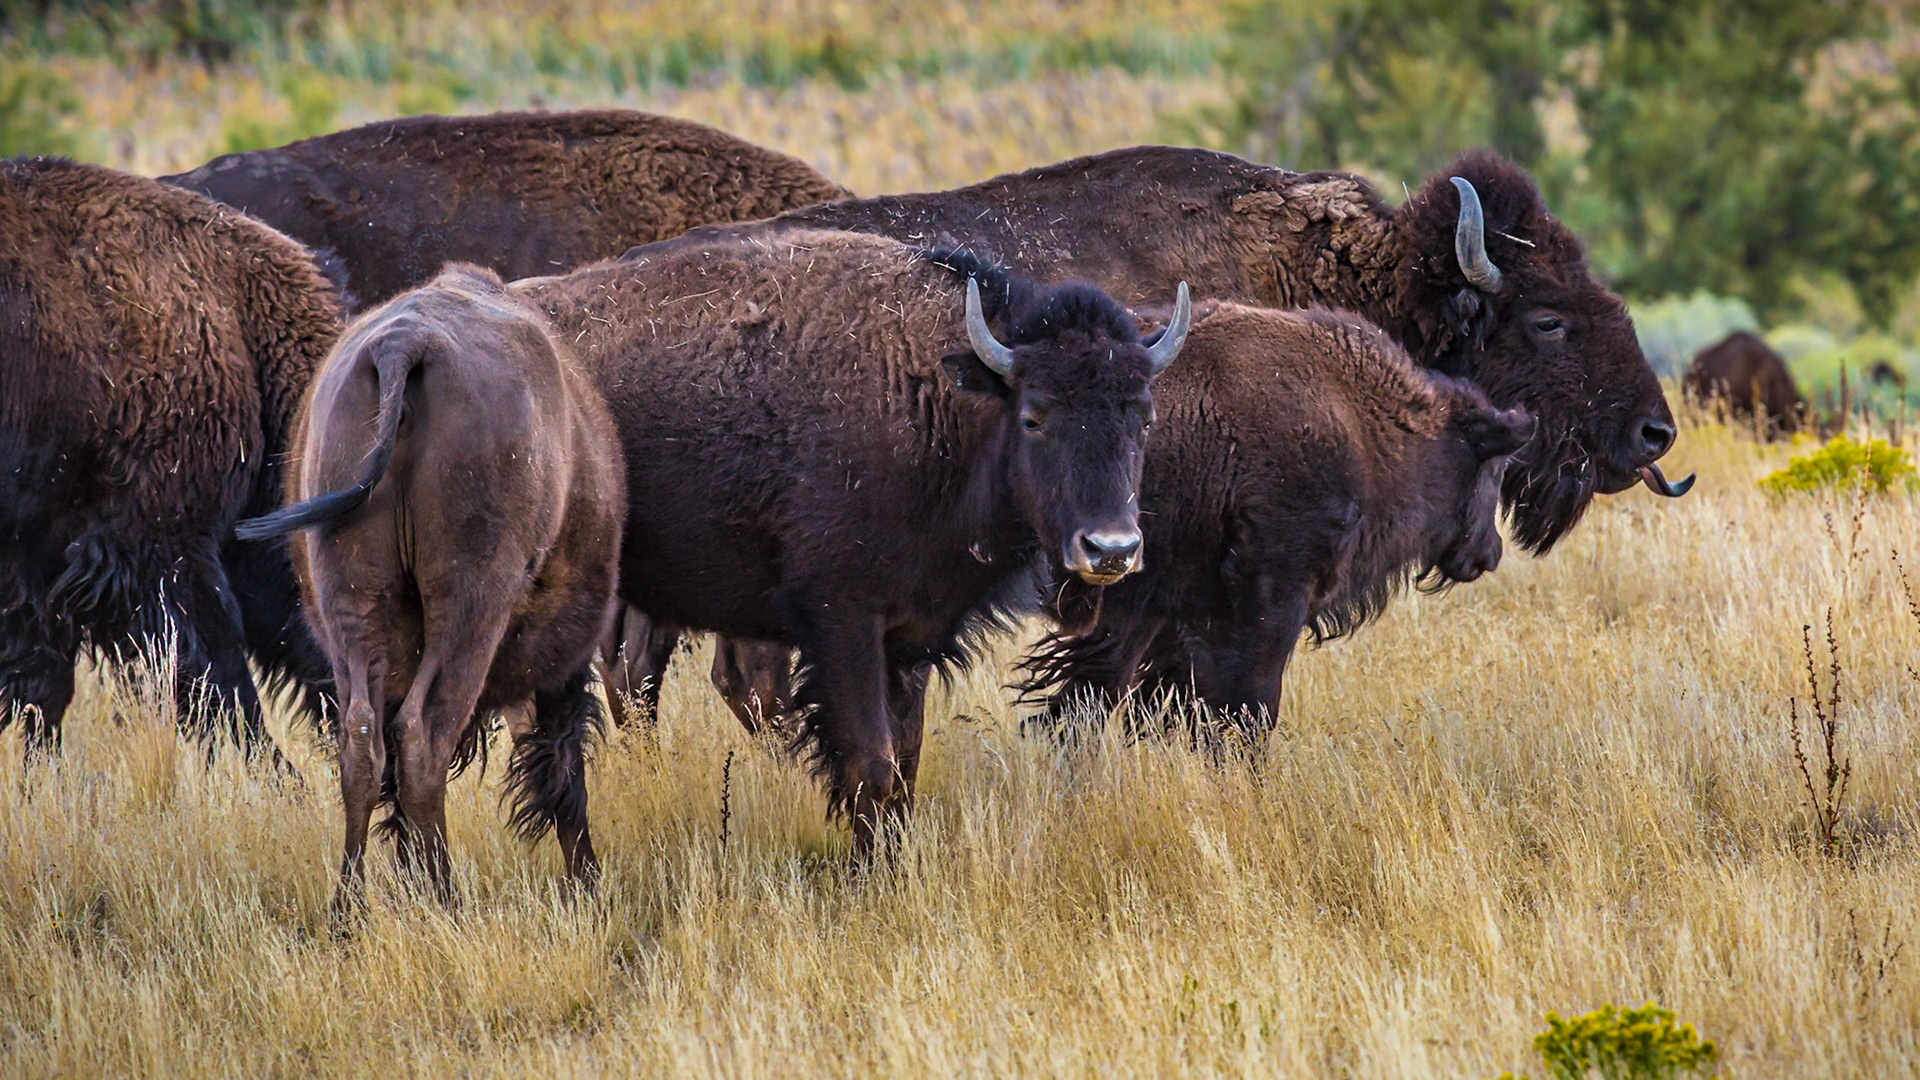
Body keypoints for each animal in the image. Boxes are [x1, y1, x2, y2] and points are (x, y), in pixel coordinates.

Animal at [237, 265, 624, 909]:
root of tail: (403, 345)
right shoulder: (562, 660)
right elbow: (562, 763)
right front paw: (587, 883)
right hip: (469, 604)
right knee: (424, 735)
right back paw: (449, 900)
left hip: (353, 598)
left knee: (363, 742)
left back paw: (349, 911)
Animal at [516, 230, 1187, 854]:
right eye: (1035, 416)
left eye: (1144, 417)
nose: (1111, 550)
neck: (937, 403)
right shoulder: (842, 624)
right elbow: (871, 764)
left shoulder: (909, 638)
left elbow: (906, 762)